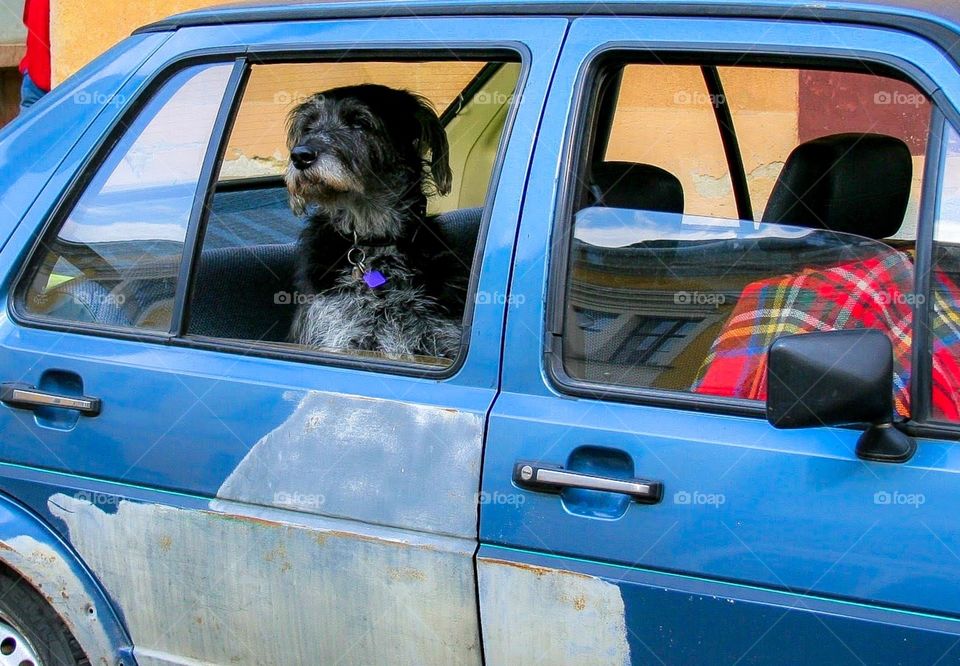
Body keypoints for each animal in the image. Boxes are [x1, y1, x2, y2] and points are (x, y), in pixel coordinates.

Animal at [284, 87, 466, 364]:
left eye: (360, 122)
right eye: (308, 127)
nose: (300, 156)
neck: (374, 243)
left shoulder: (441, 341)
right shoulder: (340, 335)